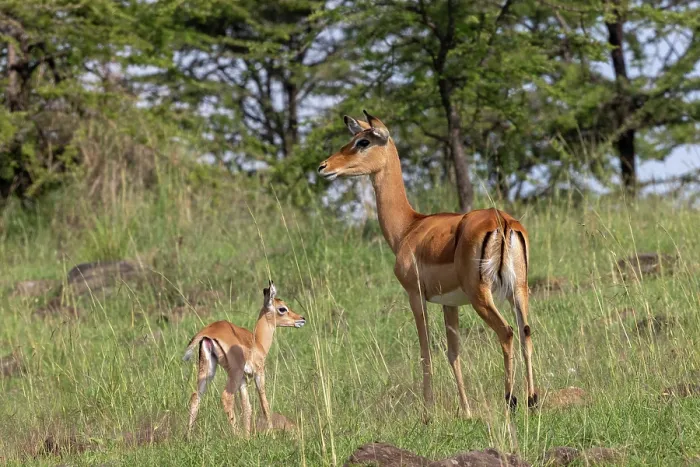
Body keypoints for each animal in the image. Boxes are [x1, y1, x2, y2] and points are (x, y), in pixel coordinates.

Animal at [183, 281, 306, 437]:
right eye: (282, 308)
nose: (301, 318)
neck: (257, 341)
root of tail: (208, 332)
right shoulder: (259, 373)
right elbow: (264, 404)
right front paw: (271, 434)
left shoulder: (243, 378)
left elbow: (247, 406)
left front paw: (248, 436)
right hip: (233, 372)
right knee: (226, 397)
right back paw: (237, 436)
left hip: (208, 371)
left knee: (195, 397)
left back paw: (188, 436)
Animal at [318, 111, 537, 416]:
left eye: (363, 141)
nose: (323, 166)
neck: (410, 227)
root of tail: (502, 222)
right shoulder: (450, 303)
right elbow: (453, 352)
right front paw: (466, 411)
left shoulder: (415, 295)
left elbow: (425, 351)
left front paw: (427, 413)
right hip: (519, 289)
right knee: (526, 332)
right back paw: (532, 400)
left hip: (482, 295)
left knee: (506, 333)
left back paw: (510, 401)